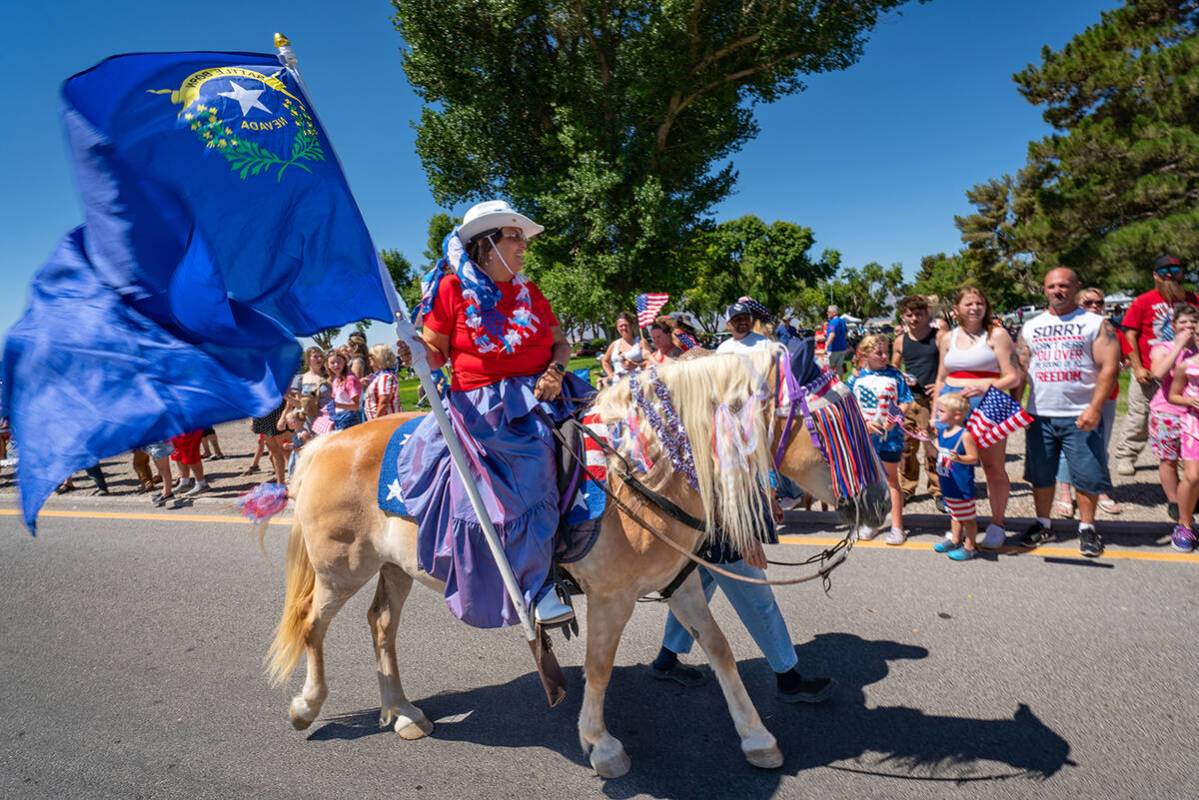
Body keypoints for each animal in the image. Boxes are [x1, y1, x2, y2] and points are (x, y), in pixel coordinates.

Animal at [262, 343, 887, 777]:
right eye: (832, 420)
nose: (881, 503)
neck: (644, 471)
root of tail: (321, 442)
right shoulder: (612, 597)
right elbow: (600, 667)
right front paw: (601, 744)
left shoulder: (681, 583)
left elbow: (721, 651)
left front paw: (756, 737)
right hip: (340, 567)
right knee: (313, 624)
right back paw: (305, 707)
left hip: (393, 568)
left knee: (381, 625)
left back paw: (404, 713)